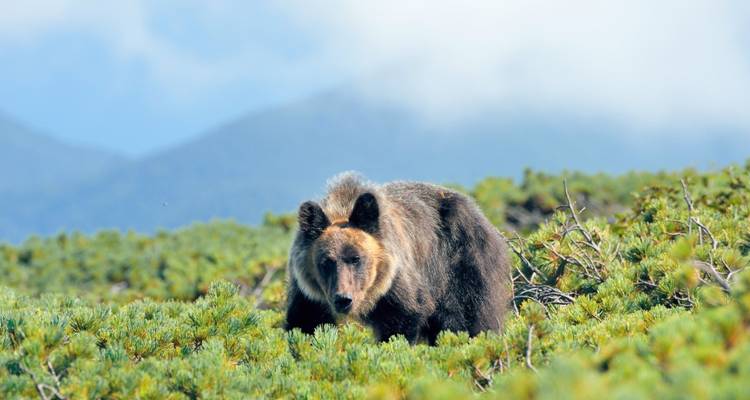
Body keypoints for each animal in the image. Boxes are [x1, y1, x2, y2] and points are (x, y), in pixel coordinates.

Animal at [285, 173, 511, 345]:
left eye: (356, 258)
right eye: (326, 262)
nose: (343, 299)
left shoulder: (397, 285)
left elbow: (400, 324)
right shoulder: (310, 295)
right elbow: (305, 325)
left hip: (462, 265)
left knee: (468, 319)